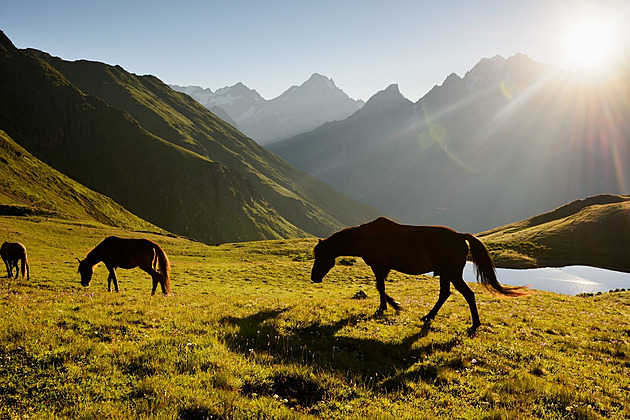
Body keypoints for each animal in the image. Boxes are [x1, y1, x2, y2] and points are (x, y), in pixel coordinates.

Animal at [312, 218, 524, 334]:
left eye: (321, 257)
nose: (314, 278)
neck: (366, 237)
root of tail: (460, 237)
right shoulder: (384, 267)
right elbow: (381, 288)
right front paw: (392, 305)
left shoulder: (378, 266)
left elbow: (380, 287)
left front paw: (388, 307)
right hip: (445, 273)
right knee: (444, 294)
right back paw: (428, 316)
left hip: (453, 273)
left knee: (468, 295)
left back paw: (474, 325)